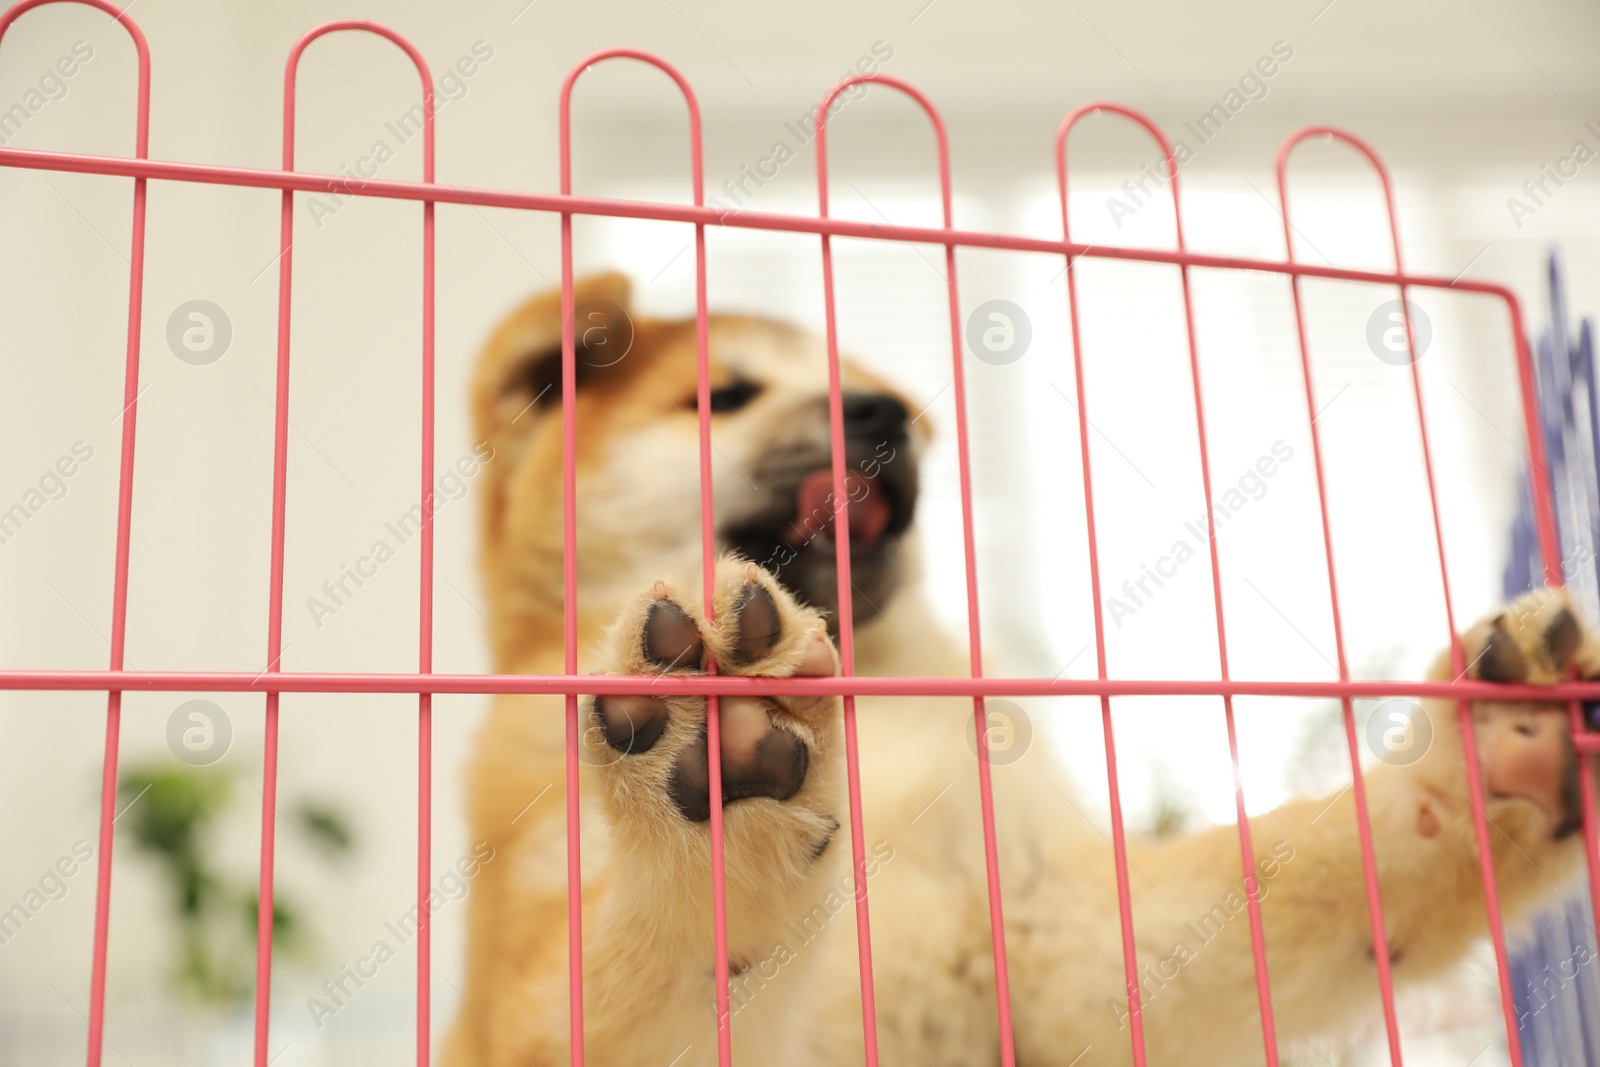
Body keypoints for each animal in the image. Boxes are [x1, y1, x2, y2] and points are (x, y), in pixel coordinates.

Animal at [444, 273, 1593, 1067]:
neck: (880, 709)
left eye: (869, 391)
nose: (878, 413)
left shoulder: (1044, 936)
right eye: (720, 396)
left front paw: (1483, 763)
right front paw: (715, 791)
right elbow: (652, 962)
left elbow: (1307, 869)